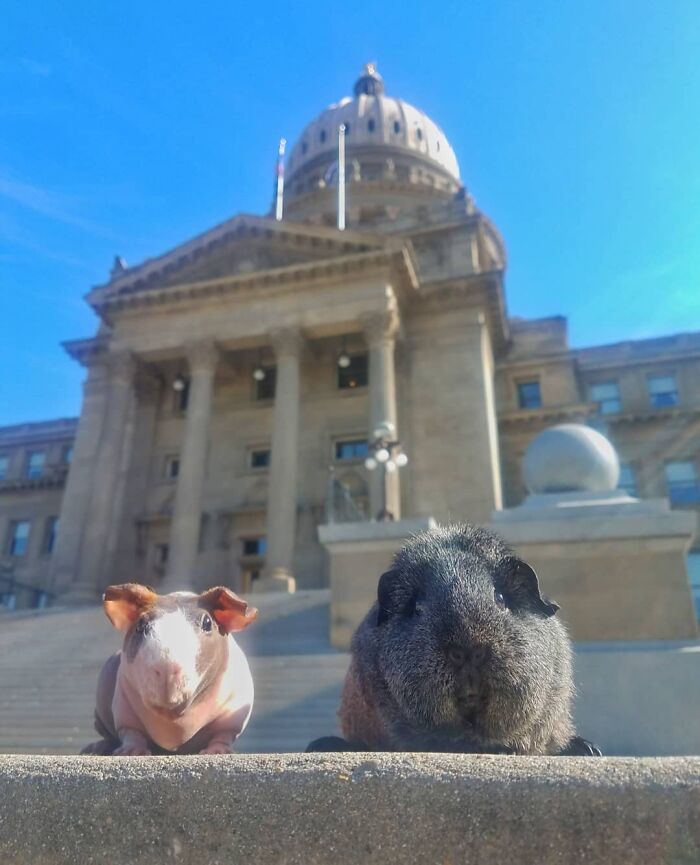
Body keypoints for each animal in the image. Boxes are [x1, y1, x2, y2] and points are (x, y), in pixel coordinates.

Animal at [81, 583, 258, 756]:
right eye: (140, 625)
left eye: (207, 623)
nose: (166, 668)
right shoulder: (124, 708)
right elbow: (132, 733)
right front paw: (130, 752)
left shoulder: (232, 712)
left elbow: (224, 734)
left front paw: (215, 752)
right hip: (100, 718)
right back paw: (94, 749)